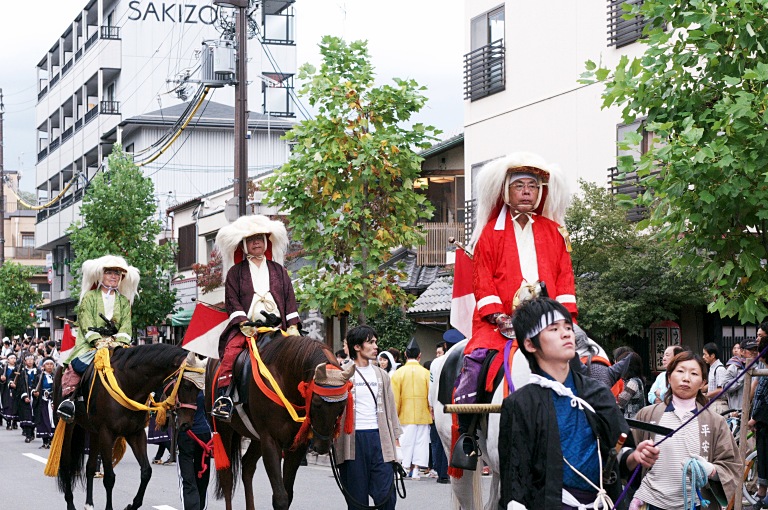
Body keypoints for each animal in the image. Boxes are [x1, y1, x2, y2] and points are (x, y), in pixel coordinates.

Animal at [51, 342, 201, 510]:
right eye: (186, 385)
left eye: (200, 389)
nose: (186, 423)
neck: (129, 384)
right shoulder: (107, 433)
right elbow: (109, 478)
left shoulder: (135, 433)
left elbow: (146, 471)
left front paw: (132, 505)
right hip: (67, 425)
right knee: (66, 465)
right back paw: (71, 504)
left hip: (94, 431)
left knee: (90, 467)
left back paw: (89, 504)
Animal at [200, 334, 352, 510]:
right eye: (316, 403)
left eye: (342, 405)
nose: (322, 446)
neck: (286, 380)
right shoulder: (271, 441)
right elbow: (281, 498)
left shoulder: (297, 444)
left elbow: (288, 494)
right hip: (222, 428)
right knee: (227, 476)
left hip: (256, 437)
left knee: (247, 467)